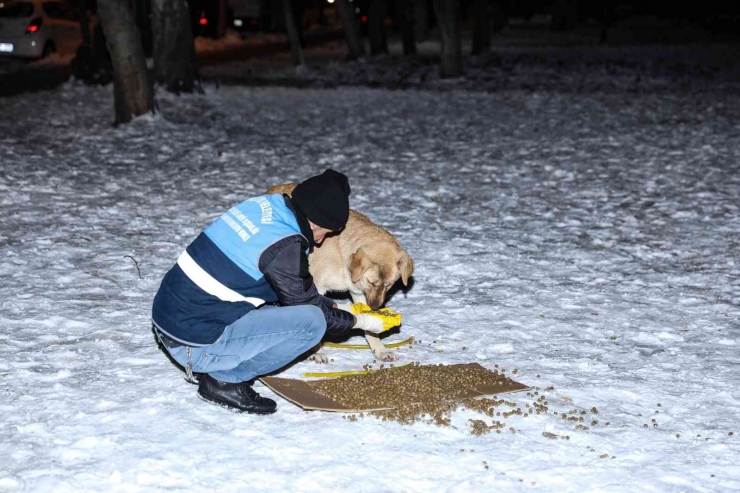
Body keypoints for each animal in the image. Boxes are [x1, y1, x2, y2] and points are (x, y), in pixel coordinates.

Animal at [266, 183, 416, 360]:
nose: (375, 308)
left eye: (389, 285)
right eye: (372, 282)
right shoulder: (317, 289)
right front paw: (316, 351)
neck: (343, 259)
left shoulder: (359, 293)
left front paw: (380, 349)